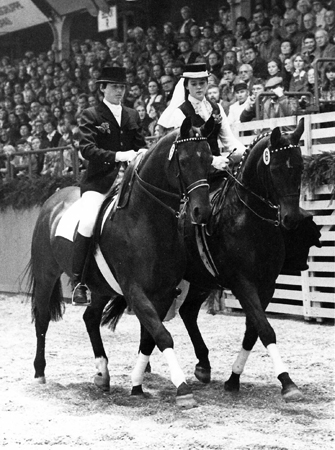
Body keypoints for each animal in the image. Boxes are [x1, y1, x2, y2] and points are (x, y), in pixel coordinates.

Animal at [28, 118, 213, 408]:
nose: (201, 212)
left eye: (208, 159)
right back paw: (39, 373)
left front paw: (137, 383)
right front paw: (183, 389)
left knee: (90, 318)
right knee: (43, 320)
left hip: (100, 287)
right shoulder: (134, 290)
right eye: (183, 161)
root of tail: (53, 199)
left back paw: (103, 374)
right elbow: (162, 335)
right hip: (47, 274)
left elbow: (149, 338)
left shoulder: (162, 294)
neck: (146, 219)